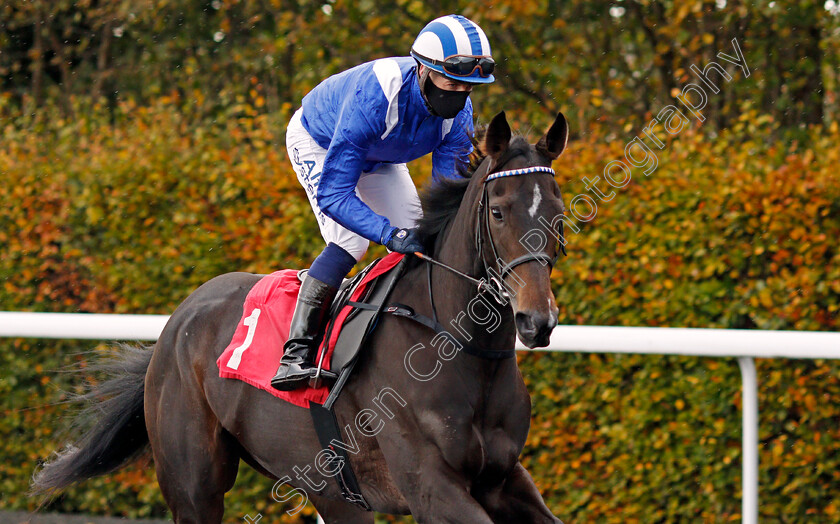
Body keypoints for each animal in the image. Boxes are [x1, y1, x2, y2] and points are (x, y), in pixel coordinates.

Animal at [32, 111, 572, 524]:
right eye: (498, 212)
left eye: (559, 214)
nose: (536, 320)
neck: (463, 351)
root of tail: (177, 320)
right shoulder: (431, 486)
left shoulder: (503, 479)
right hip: (194, 486)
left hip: (332, 490)